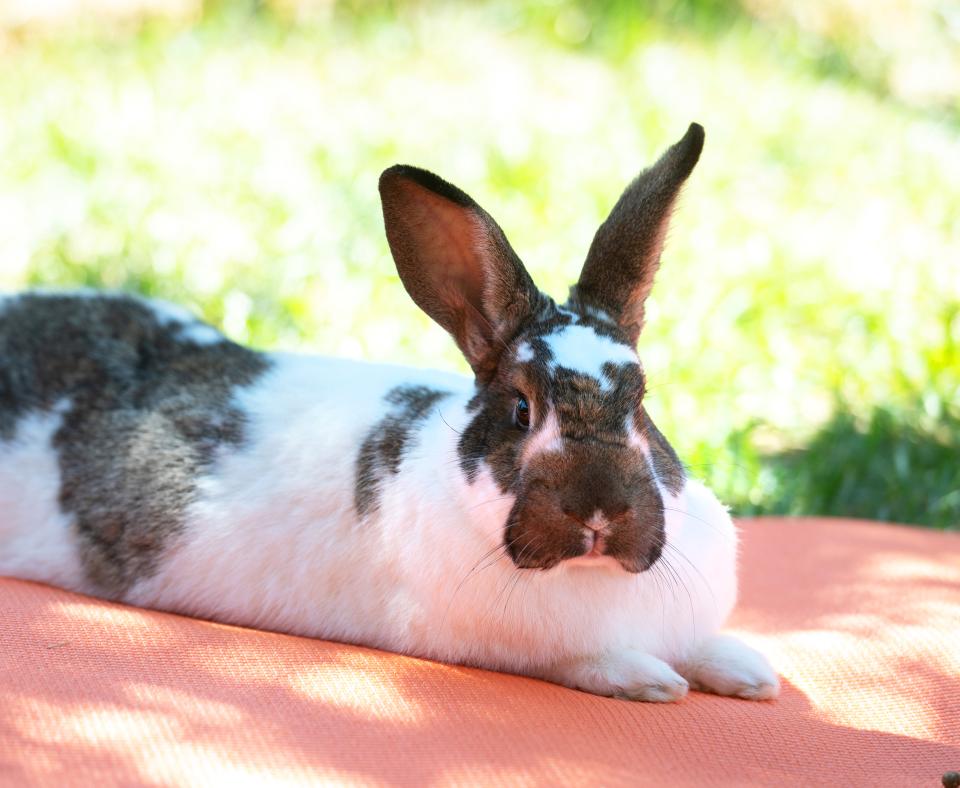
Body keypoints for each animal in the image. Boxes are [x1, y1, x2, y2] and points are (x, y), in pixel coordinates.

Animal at [0, 123, 776, 700]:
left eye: (641, 401)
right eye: (520, 408)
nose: (599, 512)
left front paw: (747, 669)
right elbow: (585, 660)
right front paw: (651, 679)